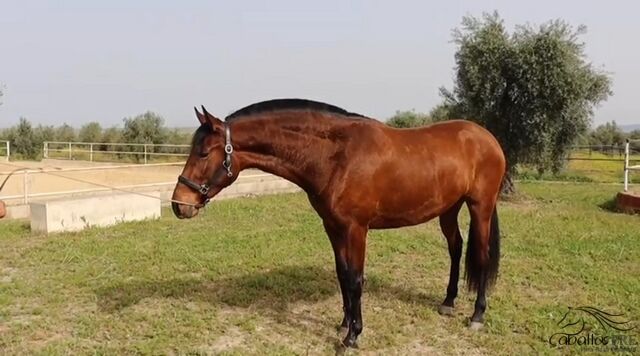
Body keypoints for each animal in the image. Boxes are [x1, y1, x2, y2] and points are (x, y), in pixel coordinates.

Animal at [171, 99, 504, 348]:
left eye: (203, 152)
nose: (178, 204)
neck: (337, 156)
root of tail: (487, 138)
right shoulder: (332, 227)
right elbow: (342, 274)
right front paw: (345, 322)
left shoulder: (356, 229)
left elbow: (355, 278)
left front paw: (353, 336)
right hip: (449, 208)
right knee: (456, 248)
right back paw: (448, 301)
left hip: (480, 207)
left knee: (482, 254)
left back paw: (477, 316)